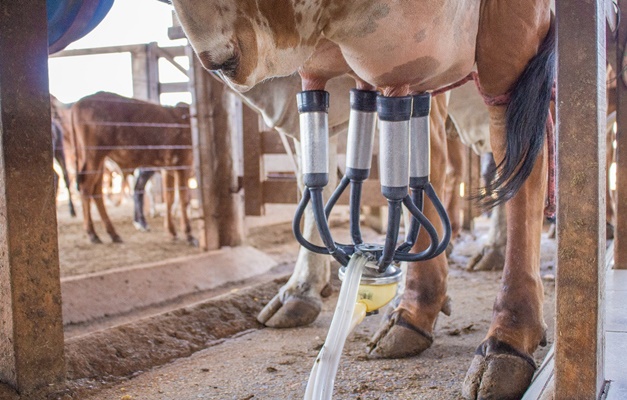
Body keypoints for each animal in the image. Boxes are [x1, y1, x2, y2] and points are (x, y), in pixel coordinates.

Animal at [68, 92, 196, 245]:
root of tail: (78, 104)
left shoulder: (168, 168)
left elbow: (170, 198)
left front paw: (171, 231)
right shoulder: (183, 164)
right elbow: (184, 199)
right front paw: (188, 234)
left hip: (98, 160)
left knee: (96, 190)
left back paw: (113, 233)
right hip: (93, 155)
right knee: (86, 187)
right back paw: (92, 233)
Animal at [170, 2, 556, 396]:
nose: (218, 58)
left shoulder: (515, 35)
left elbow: (523, 165)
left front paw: (508, 340)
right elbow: (325, 178)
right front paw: (407, 313)